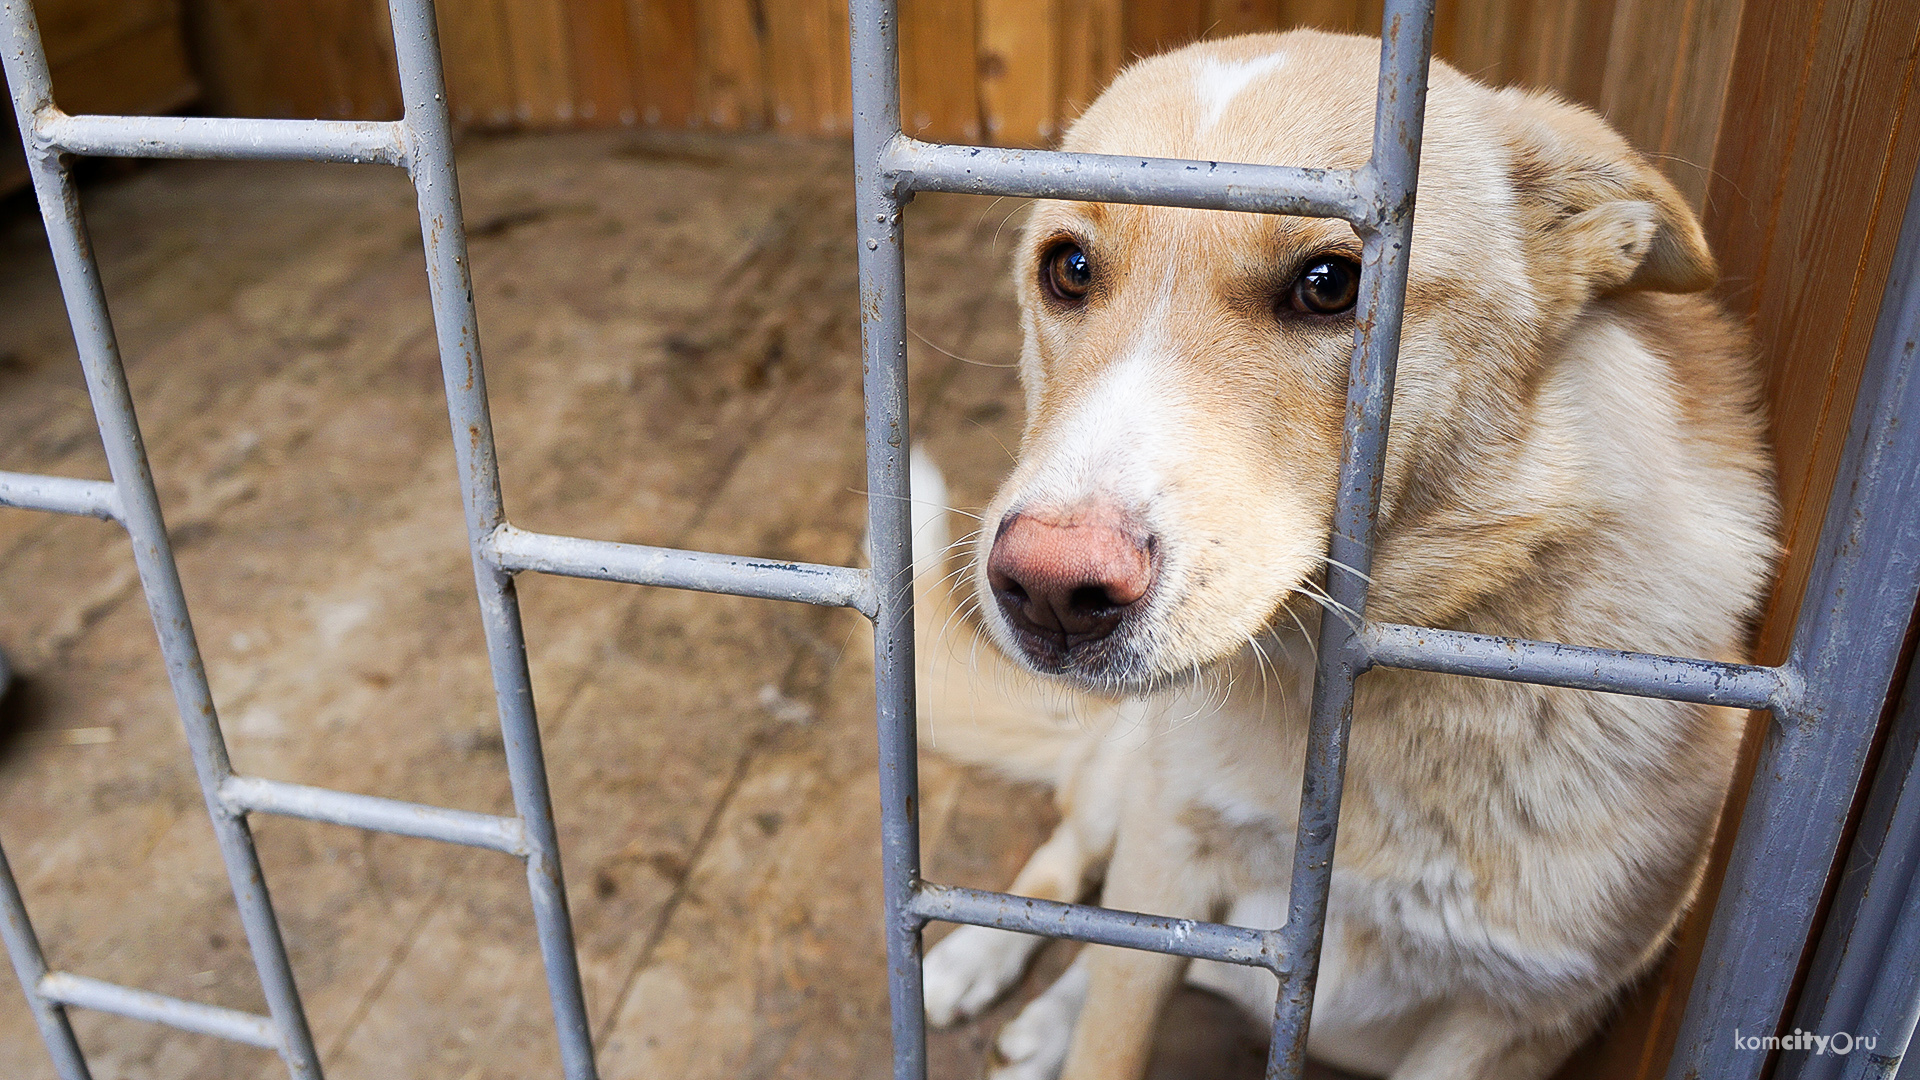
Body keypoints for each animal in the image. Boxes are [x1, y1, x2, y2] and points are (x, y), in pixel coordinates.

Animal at [906, 25, 1774, 1076]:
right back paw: (973, 962)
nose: (1046, 588)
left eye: (1331, 285)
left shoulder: (1519, 1021)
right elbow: (1113, 1025)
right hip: (1131, 793)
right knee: (1069, 853)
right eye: (1068, 269)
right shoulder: (1168, 856)